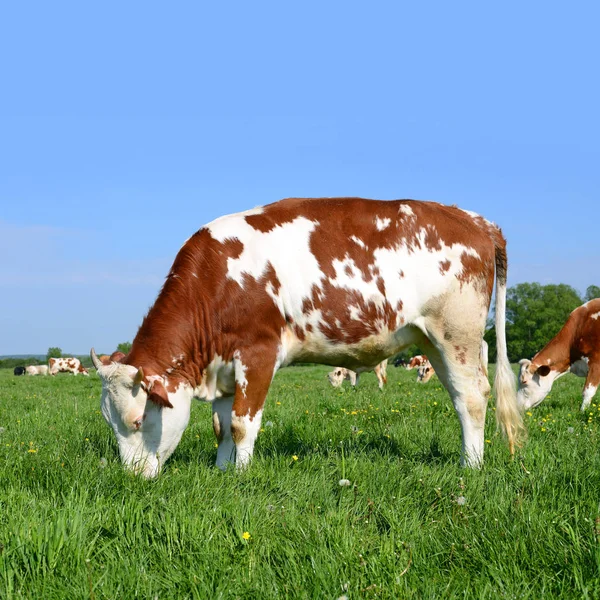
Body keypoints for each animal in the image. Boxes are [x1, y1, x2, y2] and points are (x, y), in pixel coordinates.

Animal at [91, 197, 524, 478]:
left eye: (136, 420)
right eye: (108, 422)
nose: (131, 478)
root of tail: (476, 221)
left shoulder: (258, 351)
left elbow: (242, 424)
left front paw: (240, 478)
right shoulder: (225, 367)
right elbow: (221, 426)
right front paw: (221, 469)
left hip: (457, 334)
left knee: (472, 398)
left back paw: (471, 466)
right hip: (432, 340)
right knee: (460, 397)